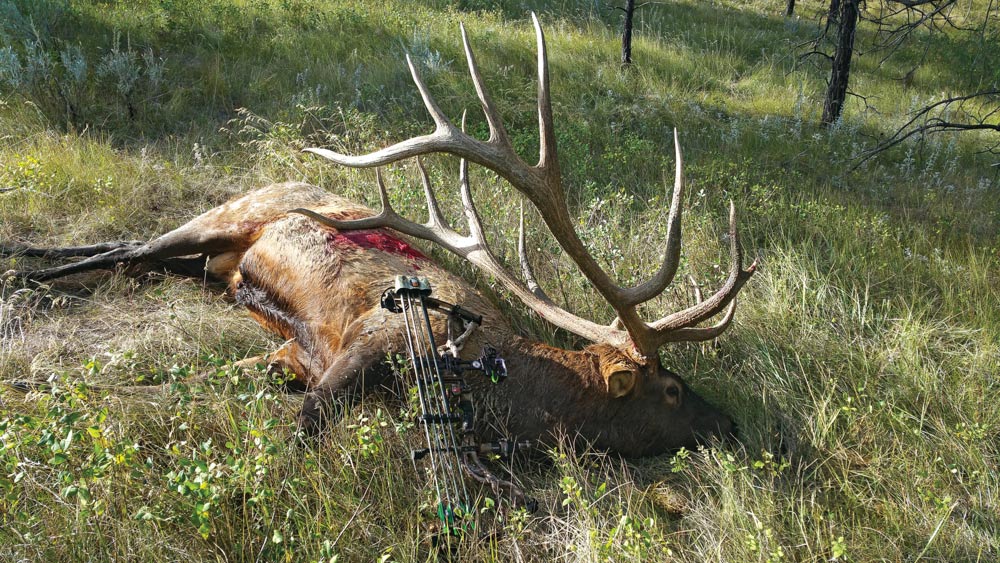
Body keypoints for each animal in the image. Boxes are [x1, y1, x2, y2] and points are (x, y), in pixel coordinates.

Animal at [1, 16, 756, 458]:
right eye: (672, 390)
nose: (730, 423)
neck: (491, 378)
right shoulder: (367, 343)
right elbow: (302, 427)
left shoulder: (290, 352)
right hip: (230, 212)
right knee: (128, 248)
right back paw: (24, 273)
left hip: (216, 264)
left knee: (129, 256)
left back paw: (20, 258)